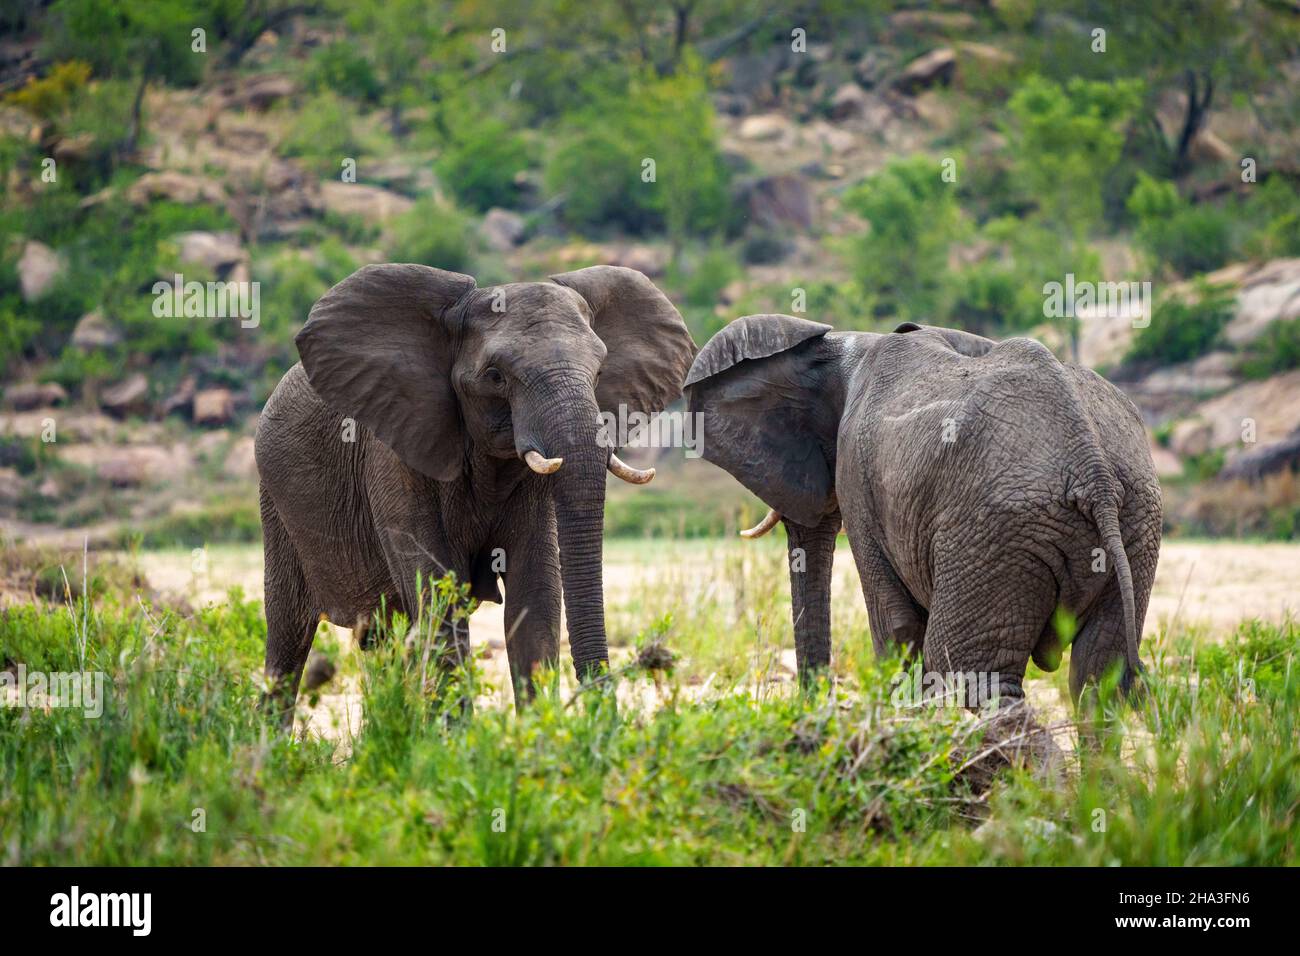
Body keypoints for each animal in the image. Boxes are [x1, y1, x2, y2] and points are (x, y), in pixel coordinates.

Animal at [257, 261, 696, 717]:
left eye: (599, 372)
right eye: (495, 376)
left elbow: (535, 595)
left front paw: (537, 731)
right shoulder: (393, 453)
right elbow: (436, 593)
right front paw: (459, 736)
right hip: (275, 506)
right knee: (288, 639)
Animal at [686, 316, 1164, 712]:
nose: (810, 706)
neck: (852, 346)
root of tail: (1092, 470)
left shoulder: (859, 475)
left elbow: (895, 629)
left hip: (994, 533)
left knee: (976, 676)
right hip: (1135, 524)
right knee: (1098, 679)